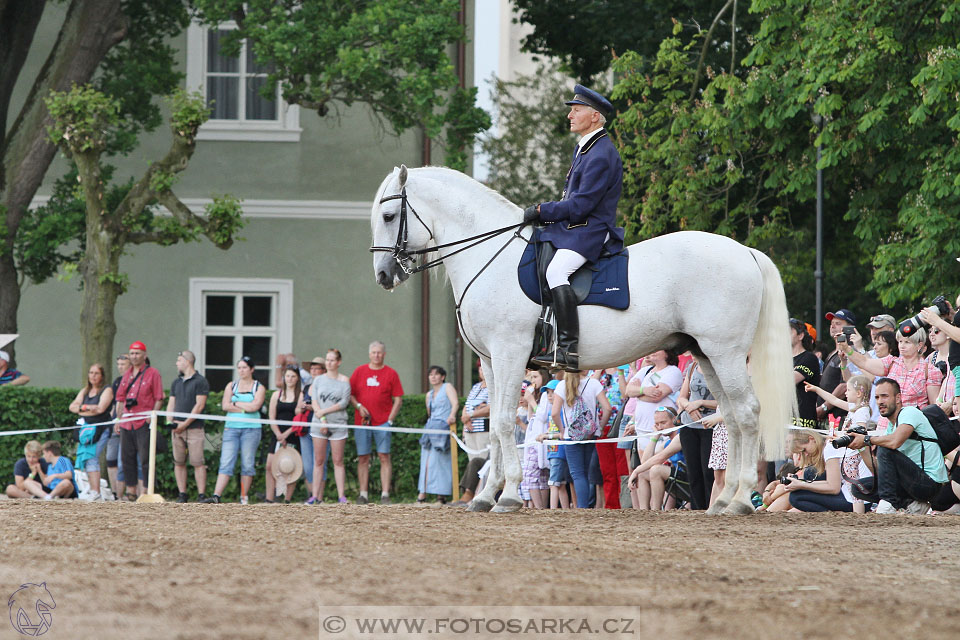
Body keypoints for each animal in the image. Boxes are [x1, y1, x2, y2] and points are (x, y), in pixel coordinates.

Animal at [368, 166, 796, 516]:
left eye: (389, 216)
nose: (384, 275)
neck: (490, 257)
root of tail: (745, 251)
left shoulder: (509, 353)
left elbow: (504, 421)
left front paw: (507, 496)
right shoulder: (489, 361)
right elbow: (492, 429)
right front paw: (486, 496)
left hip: (726, 353)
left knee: (747, 413)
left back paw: (741, 501)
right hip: (706, 354)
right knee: (730, 417)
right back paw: (723, 501)